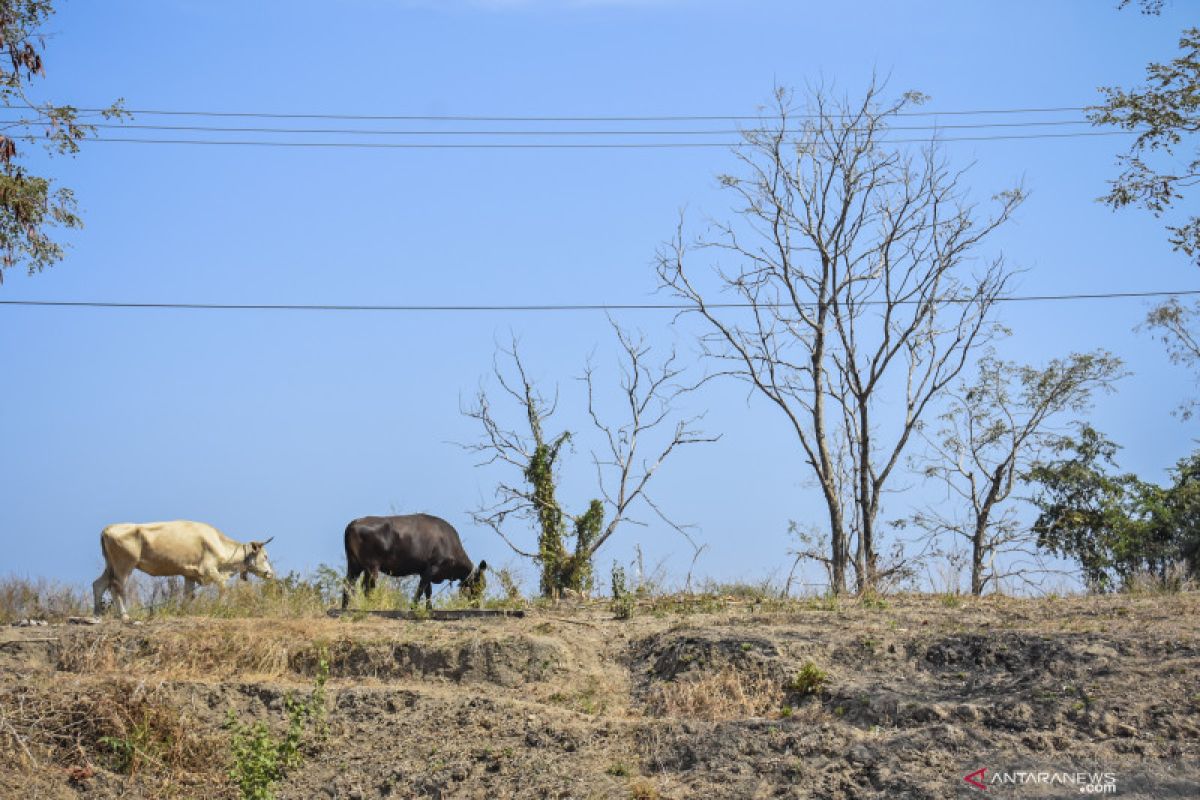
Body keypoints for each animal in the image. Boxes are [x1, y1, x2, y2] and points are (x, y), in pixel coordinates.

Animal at [93, 520, 276, 618]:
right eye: (265, 556)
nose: (270, 573)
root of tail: (107, 529)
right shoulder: (210, 570)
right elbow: (224, 588)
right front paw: (222, 608)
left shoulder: (189, 574)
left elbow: (188, 595)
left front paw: (182, 612)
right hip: (124, 565)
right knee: (116, 587)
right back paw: (125, 616)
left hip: (110, 566)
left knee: (99, 584)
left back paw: (97, 614)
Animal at [340, 515, 484, 609]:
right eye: (479, 585)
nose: (477, 605)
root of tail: (354, 523)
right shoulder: (432, 568)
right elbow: (421, 589)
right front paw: (414, 607)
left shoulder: (424, 570)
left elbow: (428, 592)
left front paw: (429, 608)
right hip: (371, 566)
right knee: (367, 587)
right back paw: (371, 605)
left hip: (354, 565)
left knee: (348, 583)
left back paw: (345, 607)